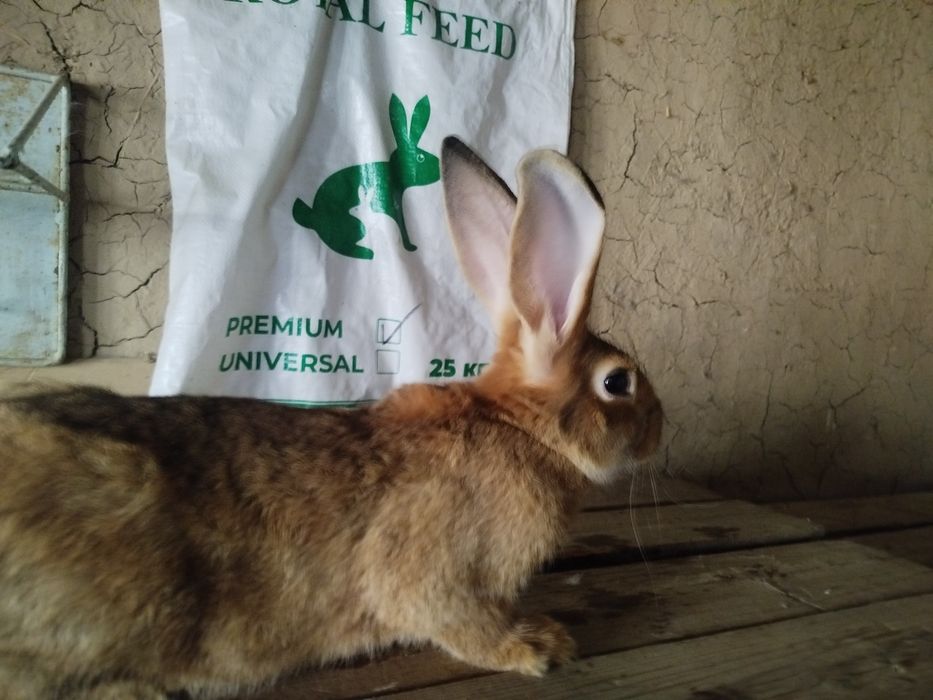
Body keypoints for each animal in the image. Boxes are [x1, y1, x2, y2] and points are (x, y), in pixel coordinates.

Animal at [0, 137, 663, 699]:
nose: (660, 430)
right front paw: (539, 645)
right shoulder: (436, 579)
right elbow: (457, 621)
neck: (523, 428)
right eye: (617, 383)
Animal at [292, 94, 440, 260]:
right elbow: (402, 228)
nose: (440, 166)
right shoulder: (393, 207)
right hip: (353, 225)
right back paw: (367, 253)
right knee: (342, 245)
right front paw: (410, 247)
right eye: (421, 158)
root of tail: (313, 217)